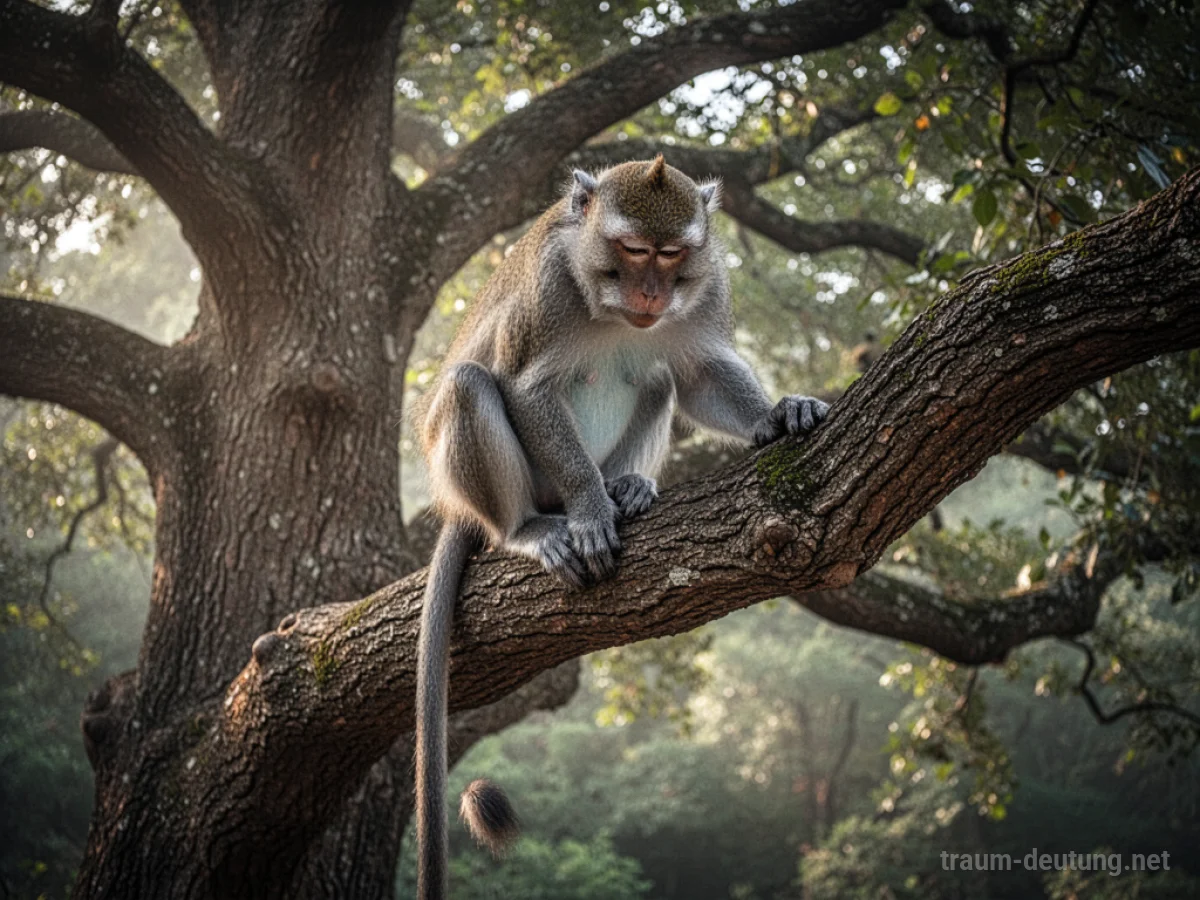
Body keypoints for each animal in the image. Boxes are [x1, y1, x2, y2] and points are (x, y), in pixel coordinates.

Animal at [412, 155, 829, 899]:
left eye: (674, 255)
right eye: (633, 250)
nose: (652, 293)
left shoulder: (708, 291)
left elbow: (698, 370)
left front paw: (776, 415)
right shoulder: (547, 295)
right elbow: (527, 388)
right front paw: (588, 511)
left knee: (659, 374)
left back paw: (627, 486)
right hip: (480, 484)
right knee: (469, 385)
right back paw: (532, 526)